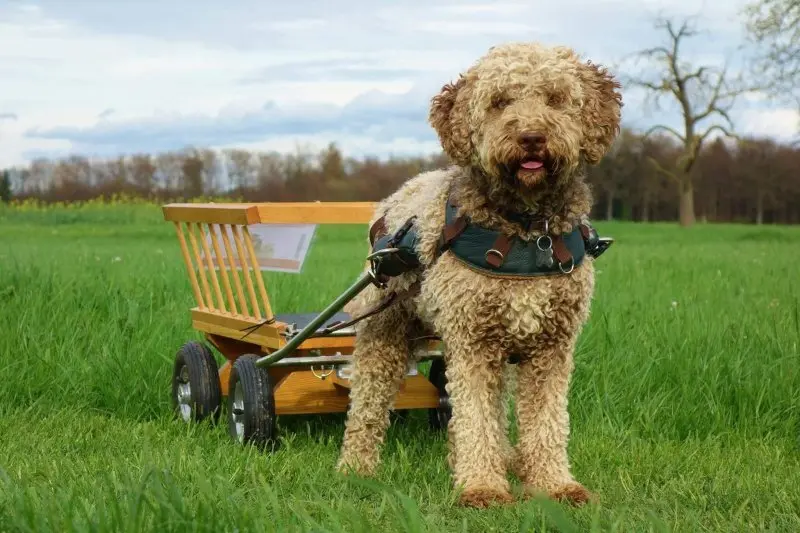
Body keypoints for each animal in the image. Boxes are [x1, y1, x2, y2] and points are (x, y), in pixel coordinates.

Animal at [334, 41, 620, 508]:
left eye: (555, 98)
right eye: (500, 102)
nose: (531, 137)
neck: (528, 231)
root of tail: (397, 197)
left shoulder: (551, 347)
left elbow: (546, 422)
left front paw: (554, 486)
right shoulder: (474, 343)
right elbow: (477, 419)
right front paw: (483, 487)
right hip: (385, 331)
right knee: (367, 406)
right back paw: (356, 468)